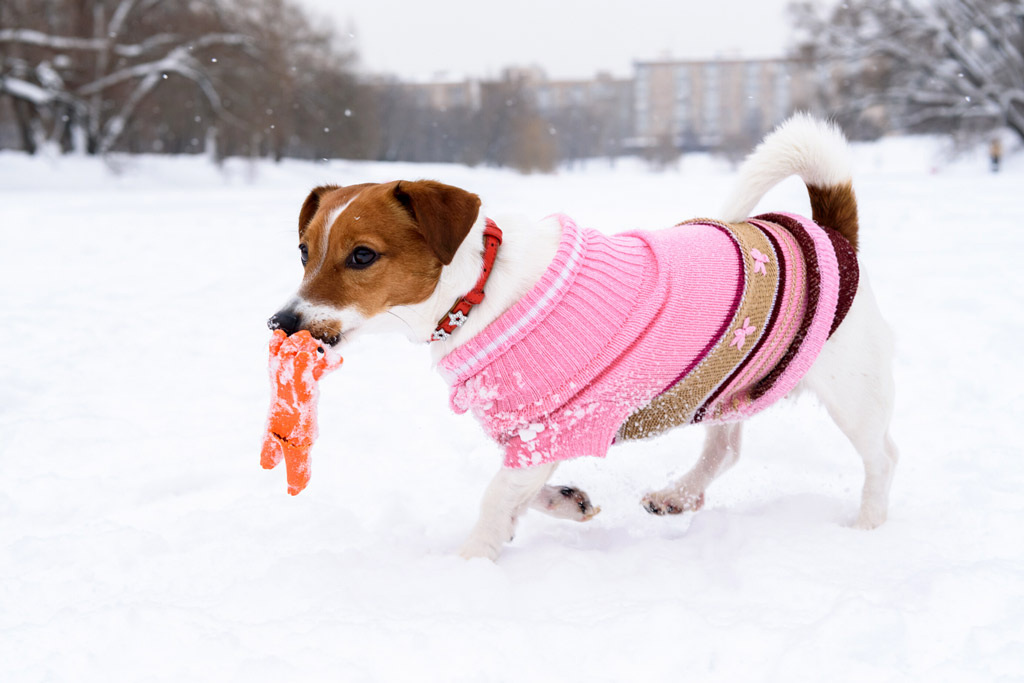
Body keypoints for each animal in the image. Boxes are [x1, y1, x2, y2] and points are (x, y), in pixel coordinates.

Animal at [268, 113, 901, 561]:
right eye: (303, 250)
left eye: (362, 255)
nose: (283, 323)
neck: (476, 295)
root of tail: (832, 236)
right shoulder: (532, 432)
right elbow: (521, 491)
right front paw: (563, 504)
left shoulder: (550, 427)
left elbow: (496, 496)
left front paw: (470, 562)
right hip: (731, 380)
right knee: (725, 449)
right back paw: (679, 494)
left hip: (853, 392)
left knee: (882, 456)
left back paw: (869, 526)